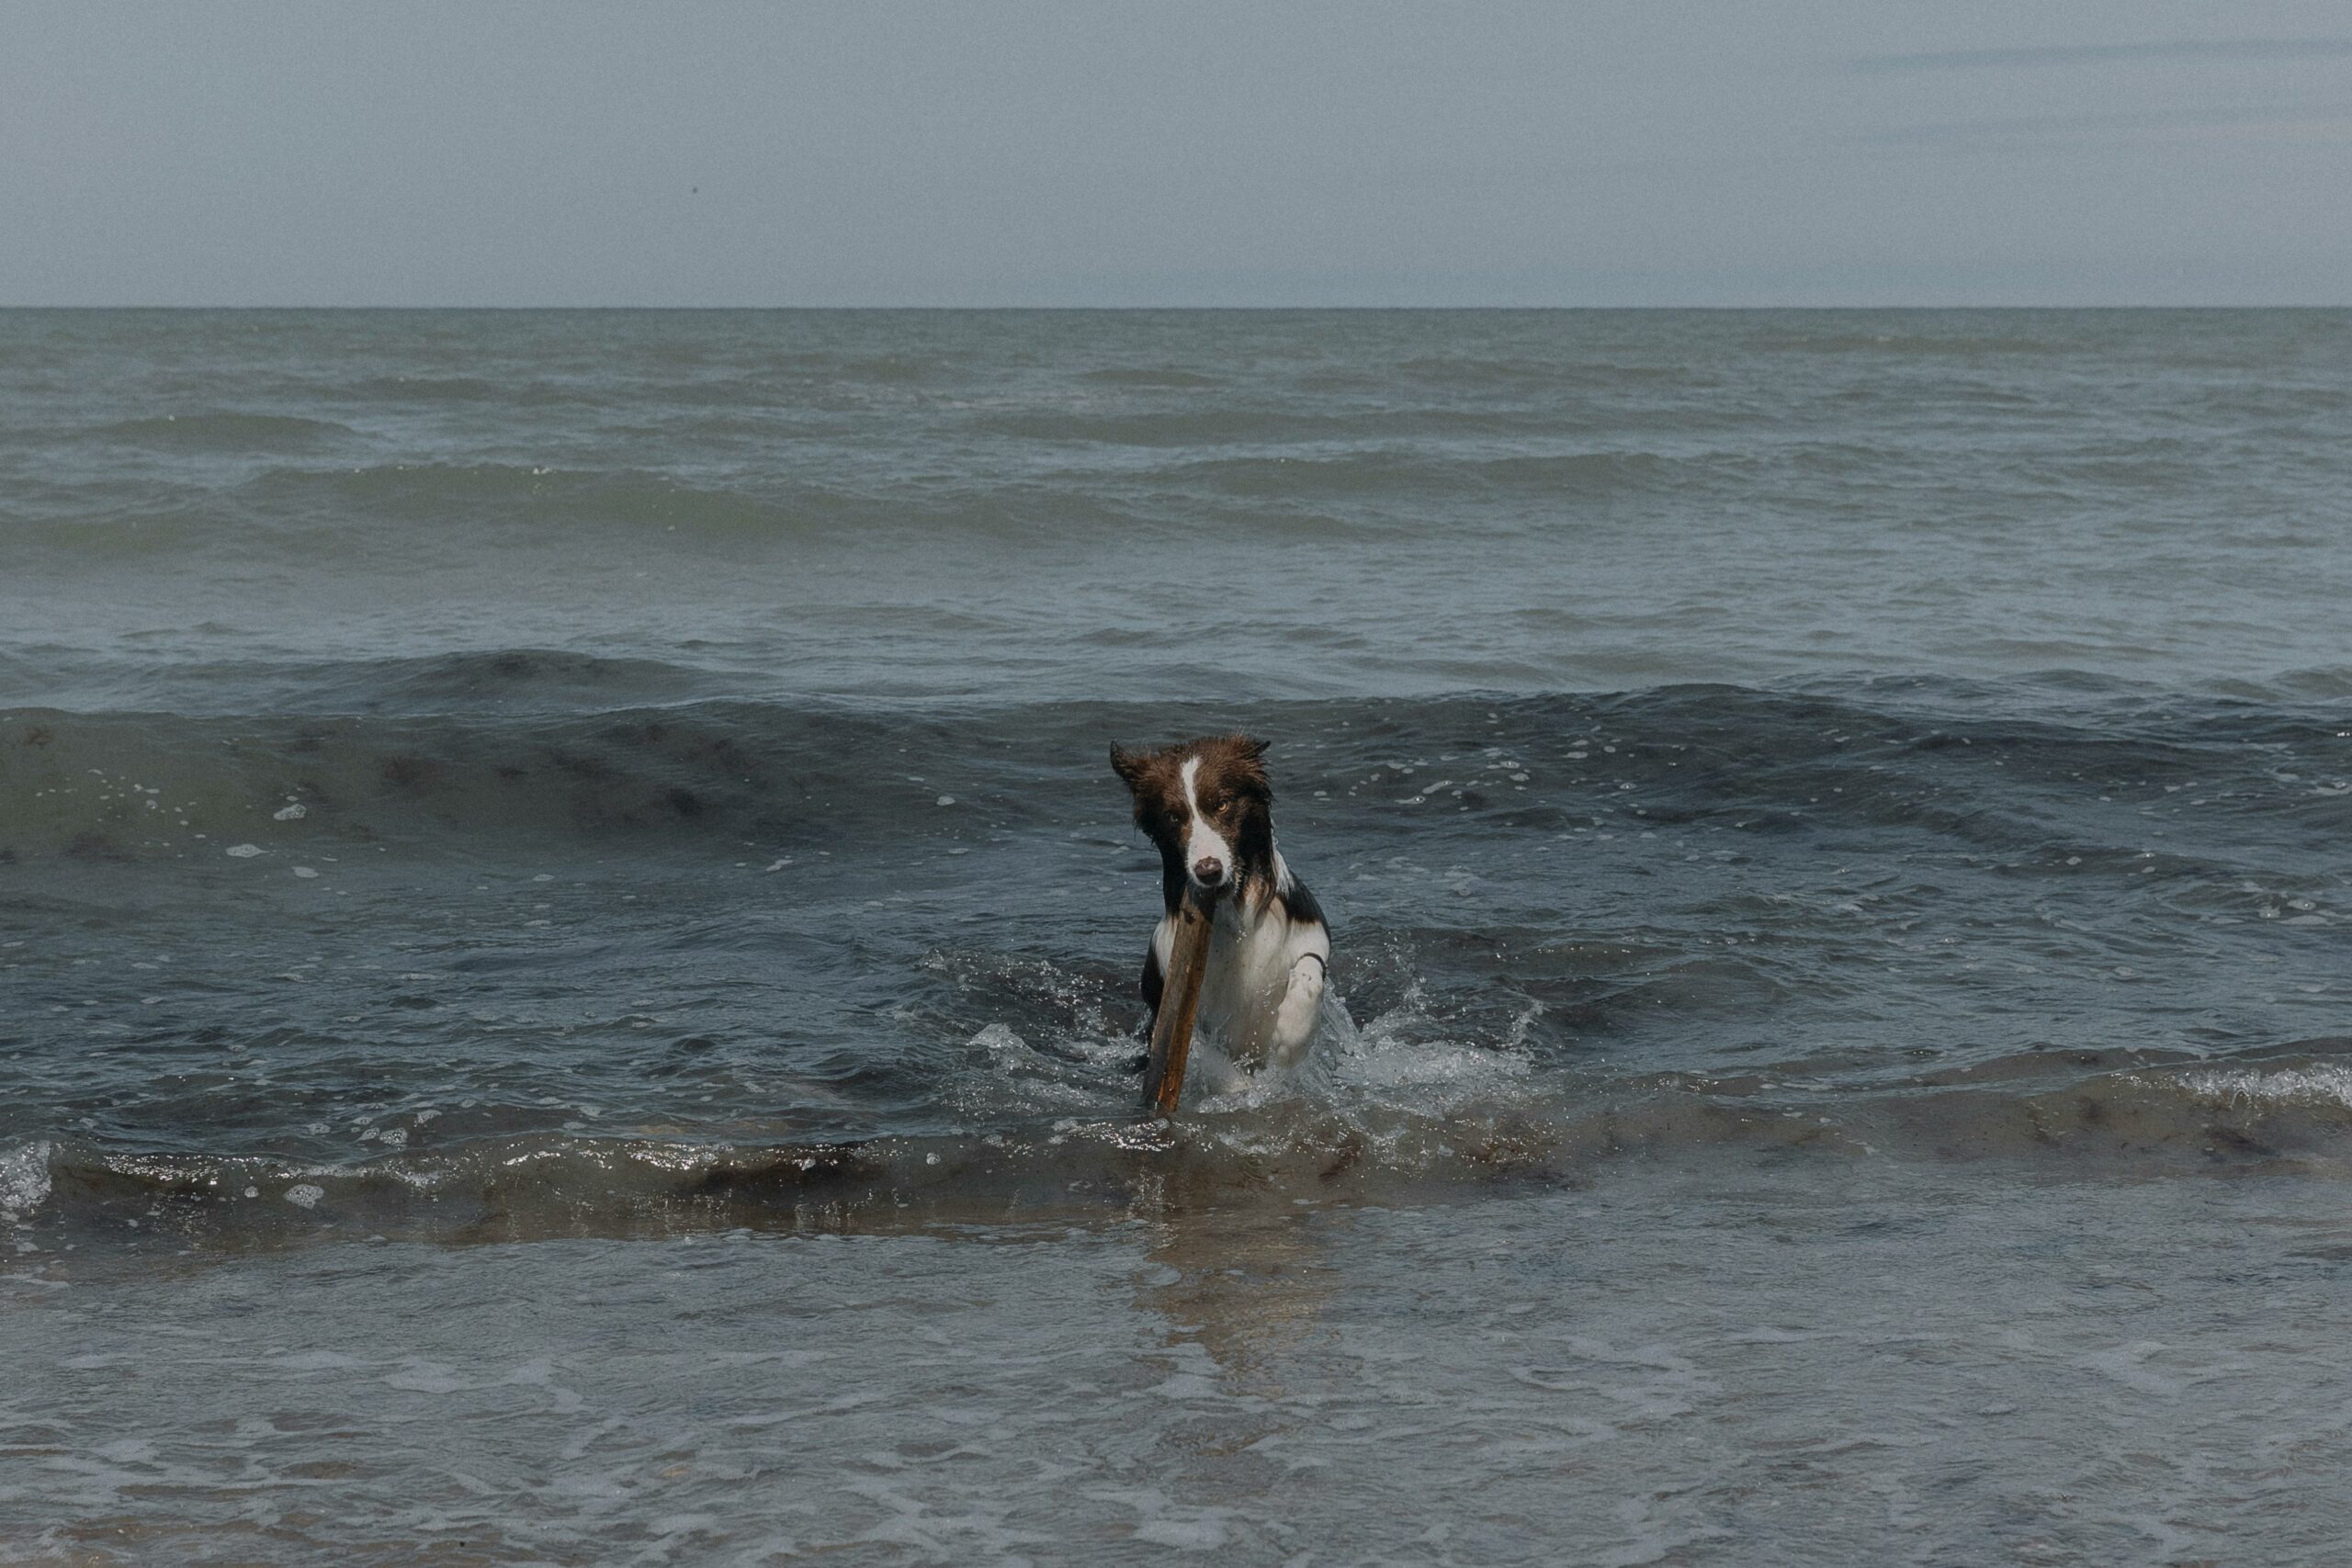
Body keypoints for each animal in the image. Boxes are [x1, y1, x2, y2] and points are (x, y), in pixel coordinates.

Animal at [1110, 738, 1336, 1081]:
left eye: (1221, 804)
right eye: (1173, 817)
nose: (1208, 871)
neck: (1236, 918)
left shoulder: (1311, 931)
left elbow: (1310, 972)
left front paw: (1292, 1040)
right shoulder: (1179, 1008)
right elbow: (1214, 1063)